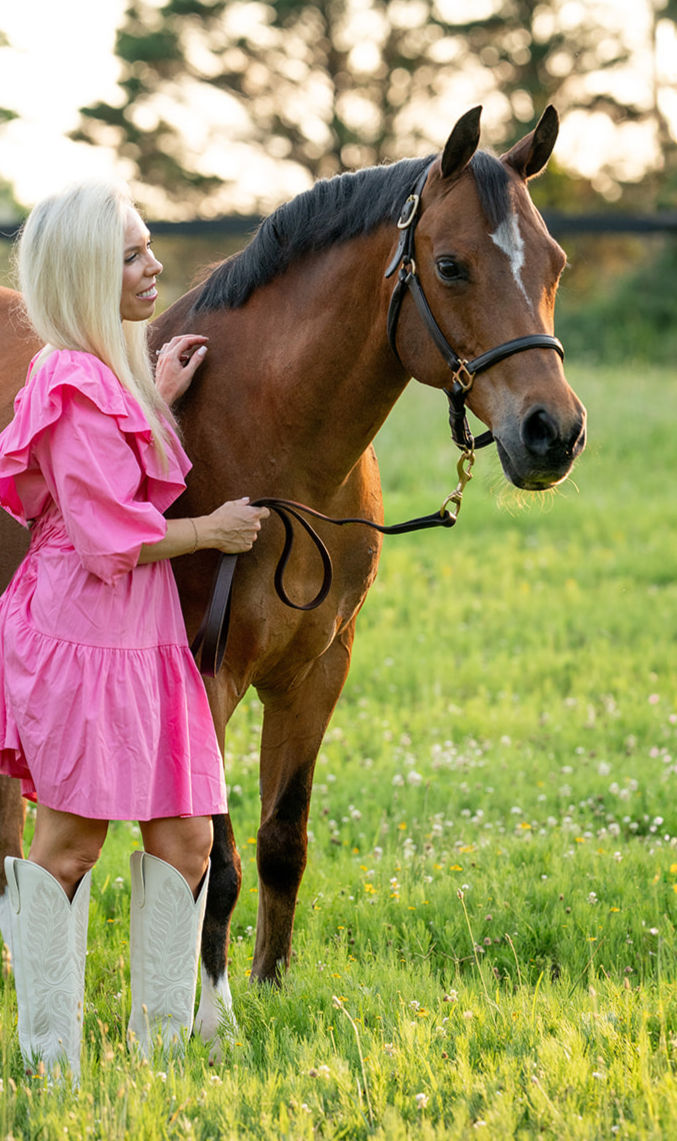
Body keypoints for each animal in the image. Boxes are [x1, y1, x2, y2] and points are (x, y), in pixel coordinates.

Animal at [0, 107, 586, 1042]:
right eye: (451, 265)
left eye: (555, 263)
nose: (552, 433)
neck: (270, 443)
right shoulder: (207, 677)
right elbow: (216, 857)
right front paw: (213, 1017)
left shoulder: (317, 670)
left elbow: (282, 840)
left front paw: (271, 983)